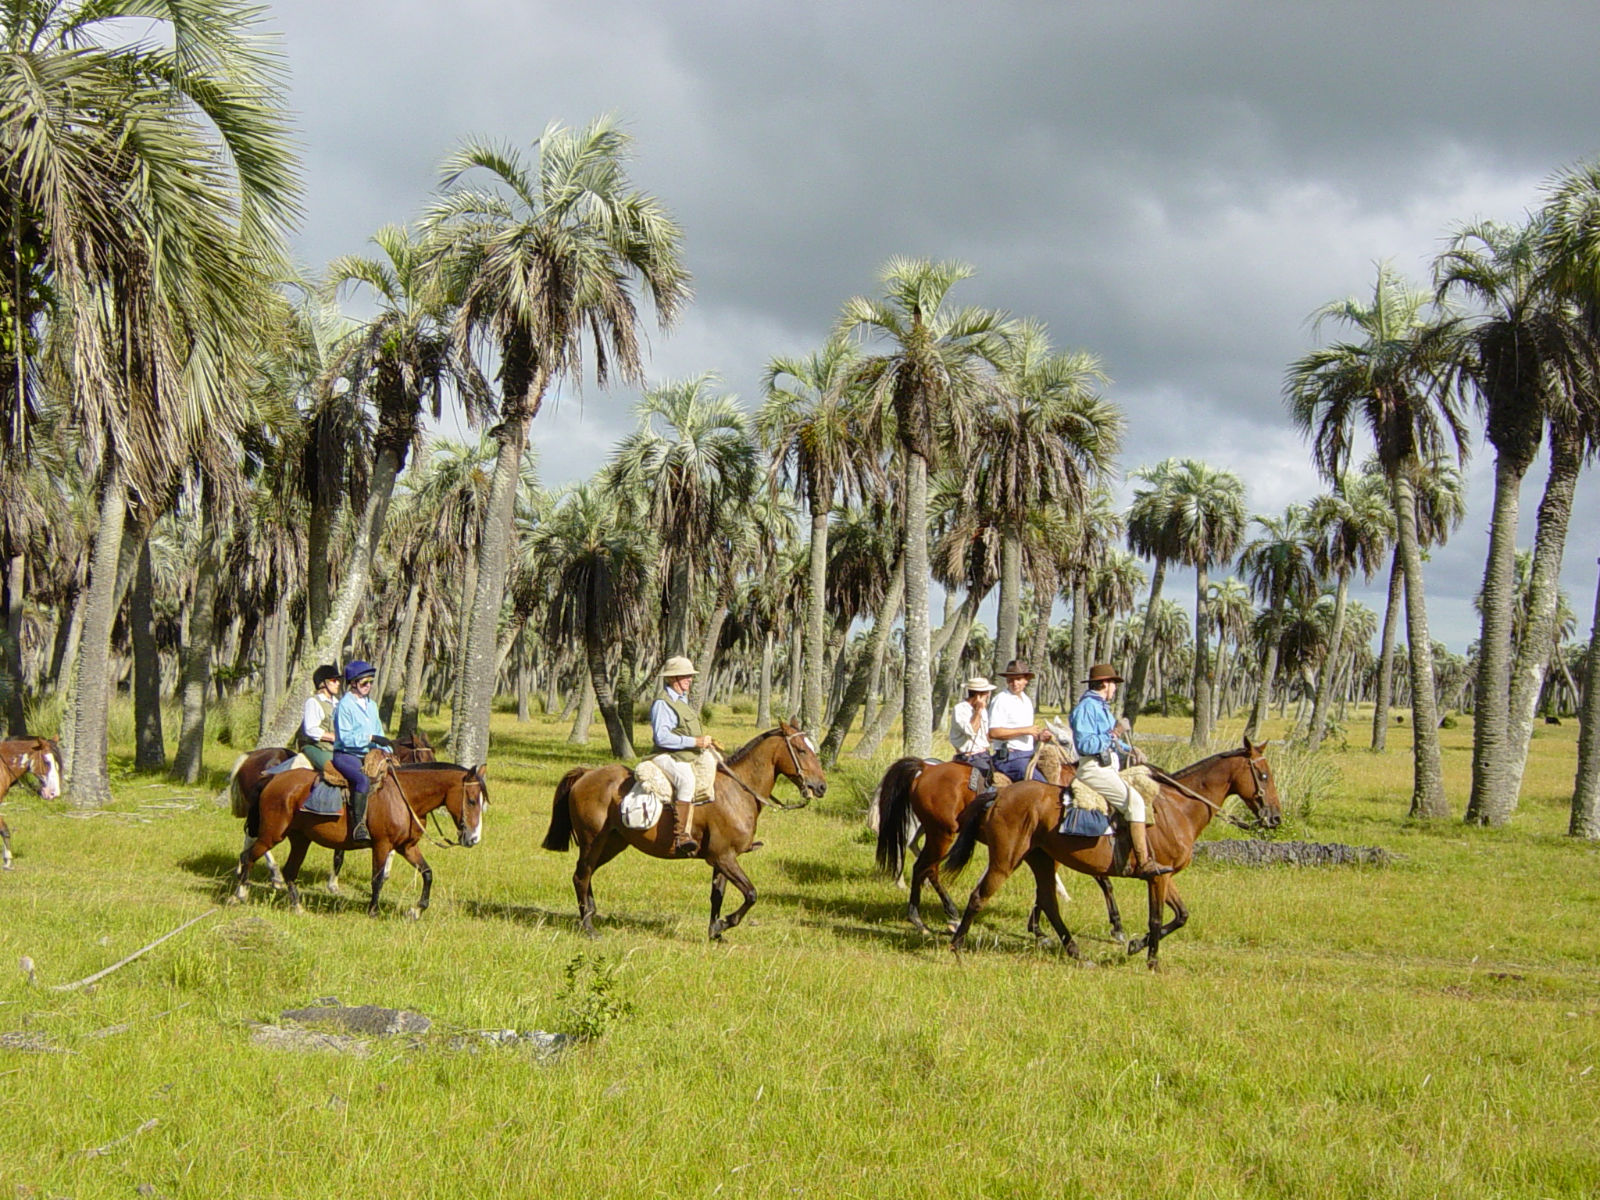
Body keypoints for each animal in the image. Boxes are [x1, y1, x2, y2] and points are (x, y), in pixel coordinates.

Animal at [233, 761, 486, 921]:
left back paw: (297, 908)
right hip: (272, 834)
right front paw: (373, 911)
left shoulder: (406, 847)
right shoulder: (382, 845)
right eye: (472, 800)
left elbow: (427, 873)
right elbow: (377, 879)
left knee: (289, 871)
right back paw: (239, 895)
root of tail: (272, 779)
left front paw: (416, 911)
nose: (474, 838)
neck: (403, 797)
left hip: (300, 839)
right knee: (248, 857)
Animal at [544, 729, 832, 947]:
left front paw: (715, 932)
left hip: (612, 843)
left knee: (587, 874)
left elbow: (717, 895)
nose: (820, 787)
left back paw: (591, 914)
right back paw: (589, 927)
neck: (737, 790)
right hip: (592, 841)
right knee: (581, 876)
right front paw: (724, 923)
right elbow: (751, 894)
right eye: (802, 750)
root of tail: (586, 774)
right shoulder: (724, 858)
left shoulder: (723, 859)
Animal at [940, 739, 1280, 972]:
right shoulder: (1157, 878)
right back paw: (956, 947)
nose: (1274, 817)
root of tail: (999, 794)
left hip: (1041, 859)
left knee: (1048, 902)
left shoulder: (1164, 875)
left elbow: (1181, 915)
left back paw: (1077, 953)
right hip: (1005, 859)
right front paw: (1152, 961)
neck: (1178, 807)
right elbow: (1157, 917)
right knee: (979, 896)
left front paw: (1136, 945)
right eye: (1263, 775)